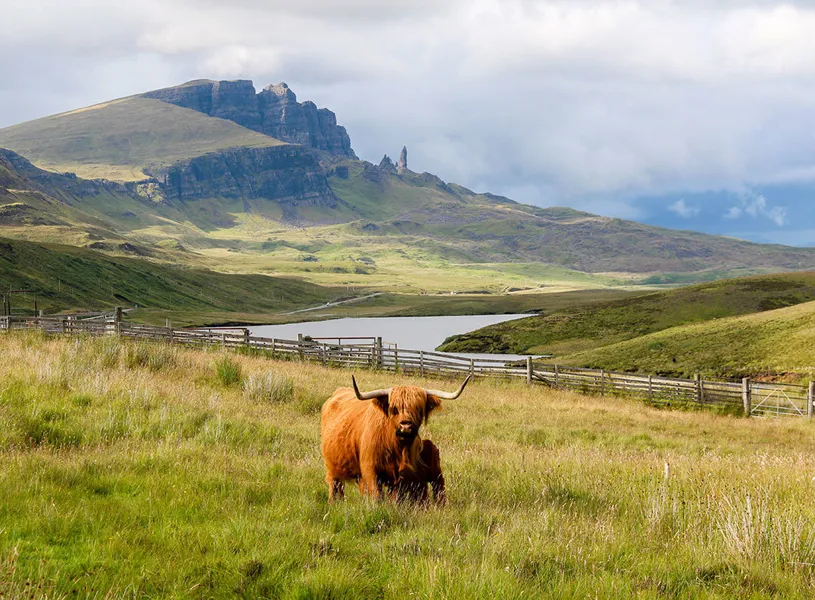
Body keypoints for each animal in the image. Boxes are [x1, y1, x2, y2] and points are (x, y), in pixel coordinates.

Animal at [320, 375, 470, 503]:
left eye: (419, 409)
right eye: (394, 409)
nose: (406, 426)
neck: (394, 446)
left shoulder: (399, 477)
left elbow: (395, 498)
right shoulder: (370, 470)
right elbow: (376, 496)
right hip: (332, 467)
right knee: (335, 486)